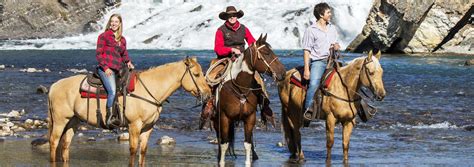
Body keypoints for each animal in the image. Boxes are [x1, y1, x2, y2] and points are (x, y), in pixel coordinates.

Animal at [48, 57, 211, 166]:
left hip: (73, 121)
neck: (150, 89)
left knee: (65, 145)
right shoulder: (134, 125)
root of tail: (54, 86)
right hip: (60, 121)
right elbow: (133, 150)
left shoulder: (148, 127)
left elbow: (143, 151)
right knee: (54, 142)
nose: (208, 93)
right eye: (196, 74)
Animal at [214, 34, 286, 166]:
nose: (282, 73)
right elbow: (224, 144)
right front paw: (221, 162)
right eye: (266, 53)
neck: (240, 88)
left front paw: (248, 161)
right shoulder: (224, 118)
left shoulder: (250, 118)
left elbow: (247, 144)